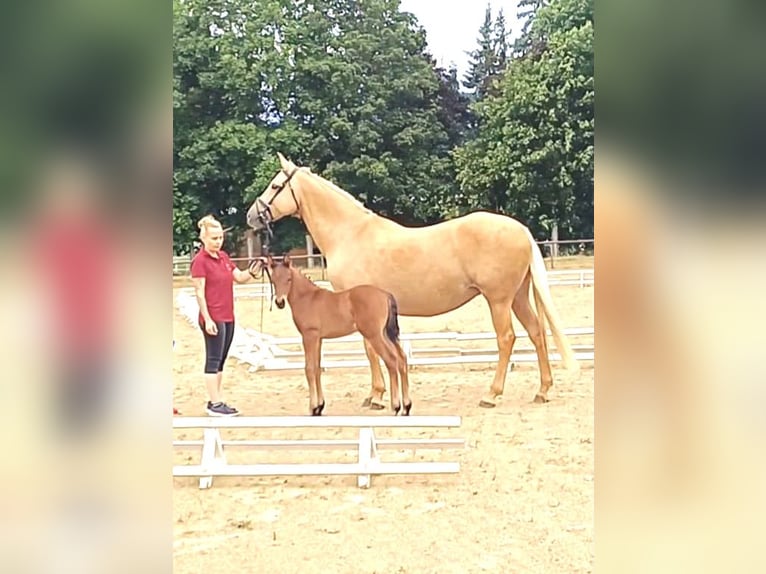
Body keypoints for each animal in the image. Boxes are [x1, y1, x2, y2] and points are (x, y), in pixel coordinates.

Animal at [264, 255, 412, 416]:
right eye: (273, 280)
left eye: (289, 279)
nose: (280, 302)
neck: (308, 298)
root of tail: (385, 294)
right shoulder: (318, 339)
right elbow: (317, 368)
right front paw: (319, 407)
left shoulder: (309, 336)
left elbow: (309, 369)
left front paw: (312, 408)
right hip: (386, 334)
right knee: (402, 358)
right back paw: (406, 407)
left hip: (375, 336)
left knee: (391, 360)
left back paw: (396, 406)